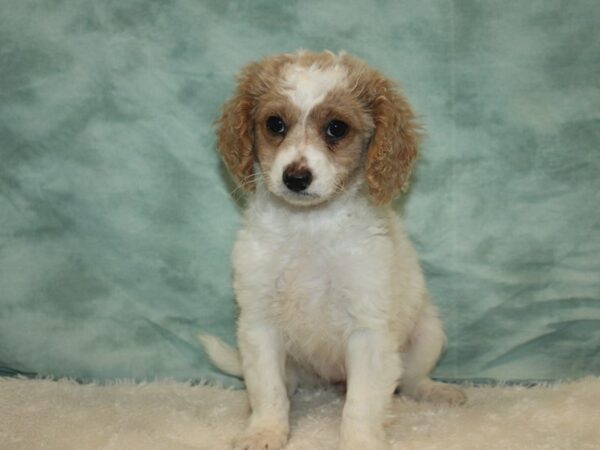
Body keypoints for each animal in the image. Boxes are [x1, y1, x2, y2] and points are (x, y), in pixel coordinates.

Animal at [199, 50, 466, 450]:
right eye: (275, 124)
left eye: (336, 128)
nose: (295, 178)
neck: (310, 225)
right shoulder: (259, 324)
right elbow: (267, 389)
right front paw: (265, 431)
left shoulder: (368, 329)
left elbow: (361, 403)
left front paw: (360, 441)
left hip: (427, 335)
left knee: (409, 380)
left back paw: (434, 393)